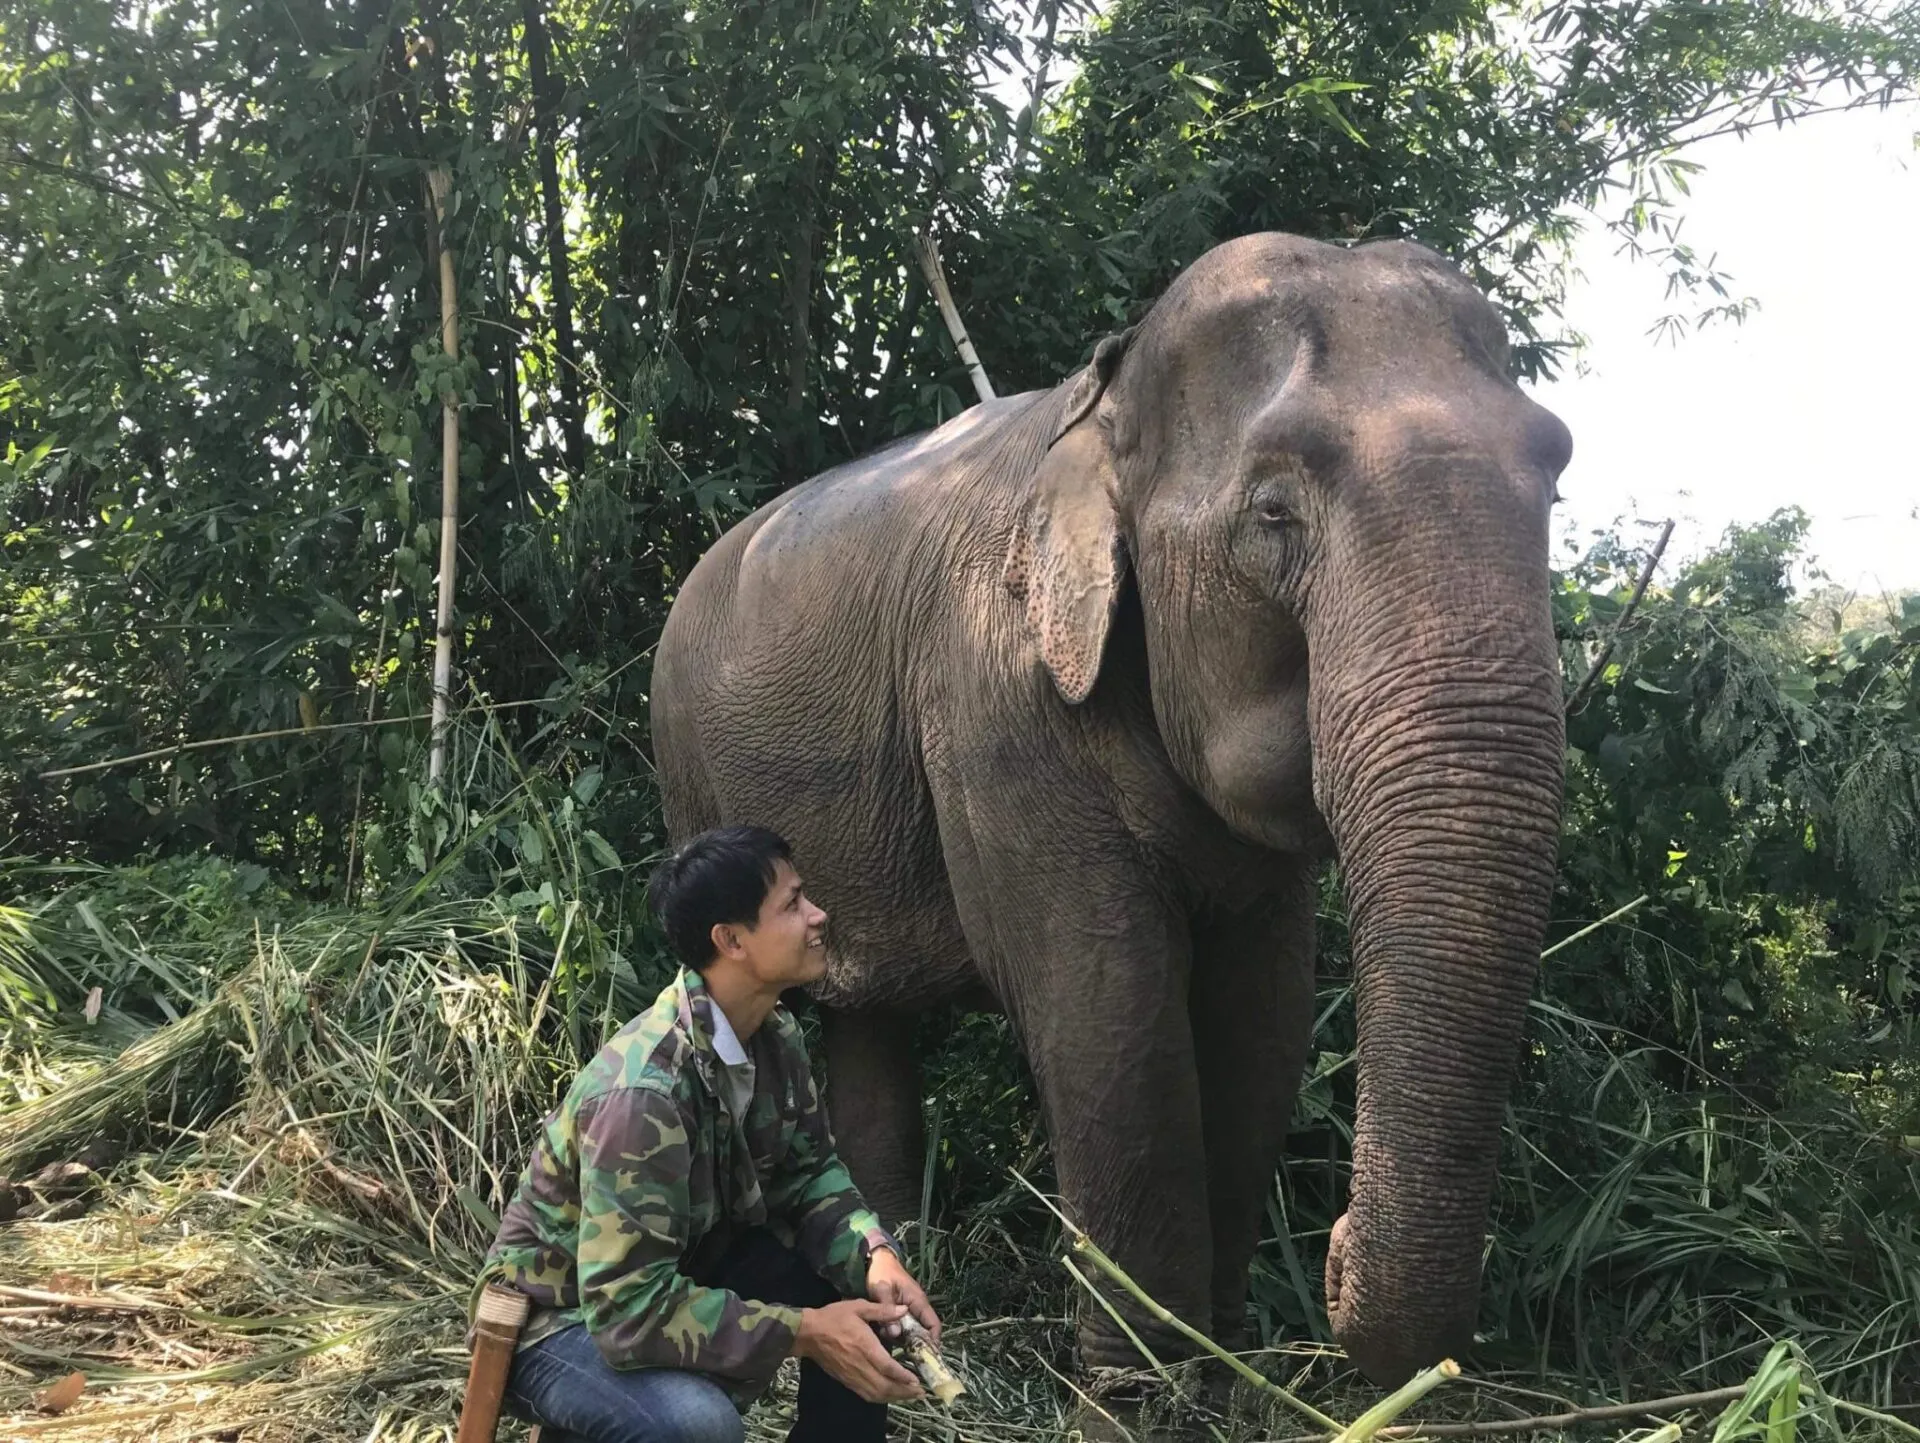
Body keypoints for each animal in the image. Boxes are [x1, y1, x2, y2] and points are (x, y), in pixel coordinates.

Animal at [650, 231, 1571, 1386]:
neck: (1107, 402)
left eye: (1557, 478)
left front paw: (1220, 1372)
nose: (1333, 1253)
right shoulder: (993, 702)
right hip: (686, 763)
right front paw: (1143, 1388)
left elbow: (1259, 1015)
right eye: (1273, 511)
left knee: (866, 1030)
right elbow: (1108, 1009)